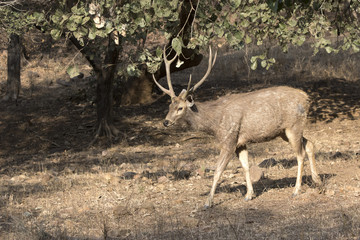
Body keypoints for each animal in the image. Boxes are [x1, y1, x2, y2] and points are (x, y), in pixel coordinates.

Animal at [153, 46, 322, 208]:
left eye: (180, 108)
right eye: (169, 106)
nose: (166, 122)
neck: (214, 123)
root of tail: (306, 98)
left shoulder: (229, 139)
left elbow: (218, 170)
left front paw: (208, 202)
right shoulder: (240, 142)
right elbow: (246, 166)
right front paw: (249, 195)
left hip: (293, 125)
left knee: (300, 154)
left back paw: (296, 190)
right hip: (284, 132)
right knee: (309, 144)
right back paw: (317, 181)